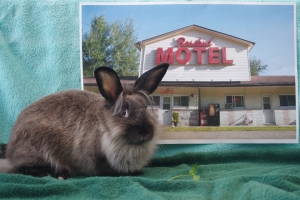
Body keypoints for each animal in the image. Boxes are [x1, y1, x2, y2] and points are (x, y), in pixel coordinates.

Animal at [0, 63, 169, 179]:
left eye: (145, 108)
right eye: (123, 112)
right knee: (24, 167)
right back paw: (57, 173)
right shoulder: (97, 160)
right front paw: (134, 173)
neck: (105, 129)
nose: (145, 131)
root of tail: (11, 150)